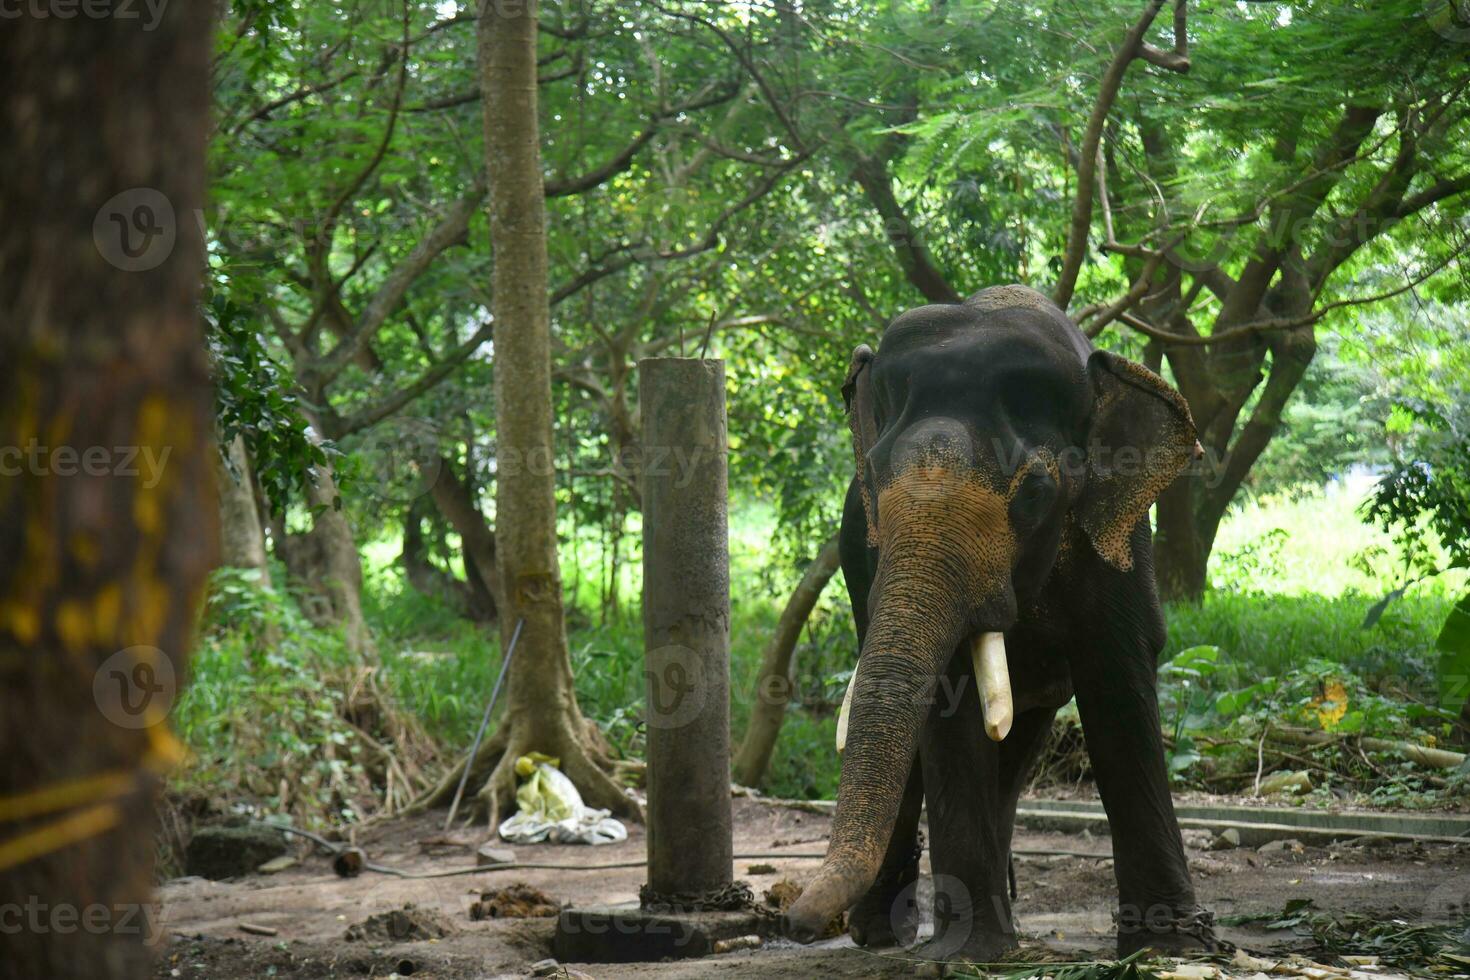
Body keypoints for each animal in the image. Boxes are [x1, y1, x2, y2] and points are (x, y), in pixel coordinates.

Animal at [787, 287, 1223, 963]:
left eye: (1035, 492)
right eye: (875, 479)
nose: (795, 924)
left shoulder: (1118, 543)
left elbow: (1120, 678)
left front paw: (1169, 946)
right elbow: (950, 701)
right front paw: (970, 953)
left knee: (1021, 740)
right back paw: (880, 933)